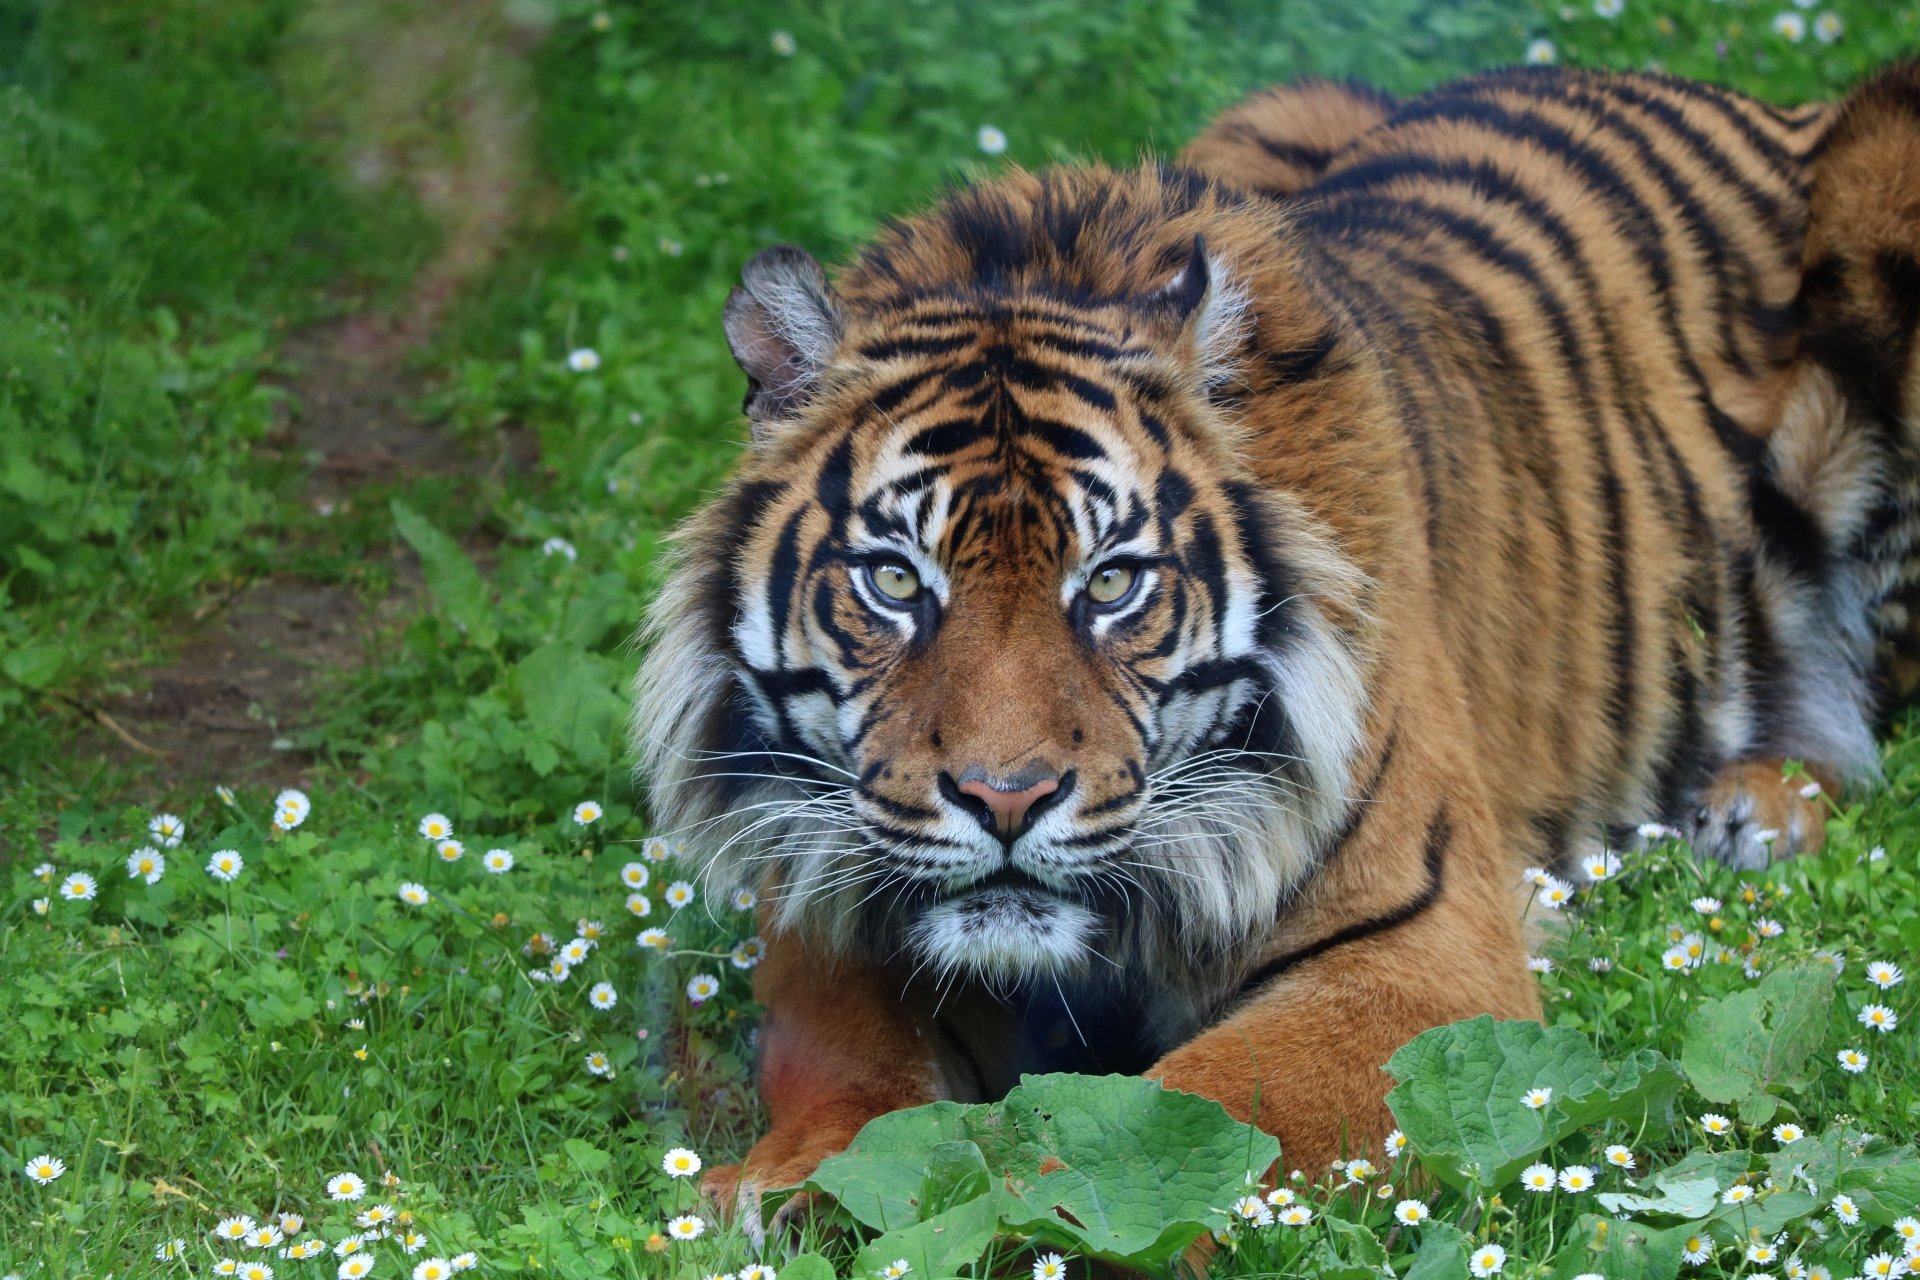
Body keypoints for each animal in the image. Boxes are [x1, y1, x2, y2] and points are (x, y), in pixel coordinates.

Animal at [631, 59, 1920, 1226]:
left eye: (1112, 582)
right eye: (896, 579)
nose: (1005, 798)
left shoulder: (1418, 956)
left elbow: (1178, 1121)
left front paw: (1027, 1208)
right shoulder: (827, 903)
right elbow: (850, 1067)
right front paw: (798, 1183)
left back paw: (1757, 805)